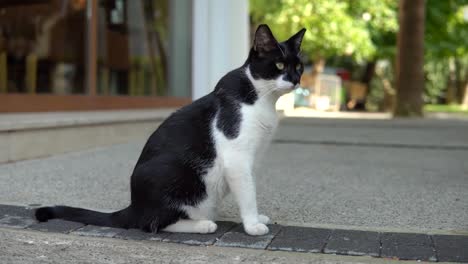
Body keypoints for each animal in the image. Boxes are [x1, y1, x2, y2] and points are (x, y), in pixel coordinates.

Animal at [37, 24, 308, 235]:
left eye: (299, 67)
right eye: (279, 64)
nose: (295, 80)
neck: (262, 98)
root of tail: (134, 206)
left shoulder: (252, 157)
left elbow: (250, 188)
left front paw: (256, 217)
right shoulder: (237, 157)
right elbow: (248, 192)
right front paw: (252, 225)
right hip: (173, 173)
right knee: (152, 224)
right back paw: (202, 225)